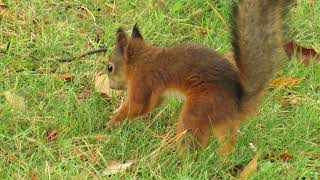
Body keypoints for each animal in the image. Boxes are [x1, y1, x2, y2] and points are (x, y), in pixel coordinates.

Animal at [104, 0, 292, 155]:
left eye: (110, 67)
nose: (111, 87)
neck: (141, 59)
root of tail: (237, 104)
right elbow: (153, 104)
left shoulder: (142, 80)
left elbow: (138, 107)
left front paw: (112, 122)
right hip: (221, 123)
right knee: (227, 142)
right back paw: (224, 160)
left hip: (199, 110)